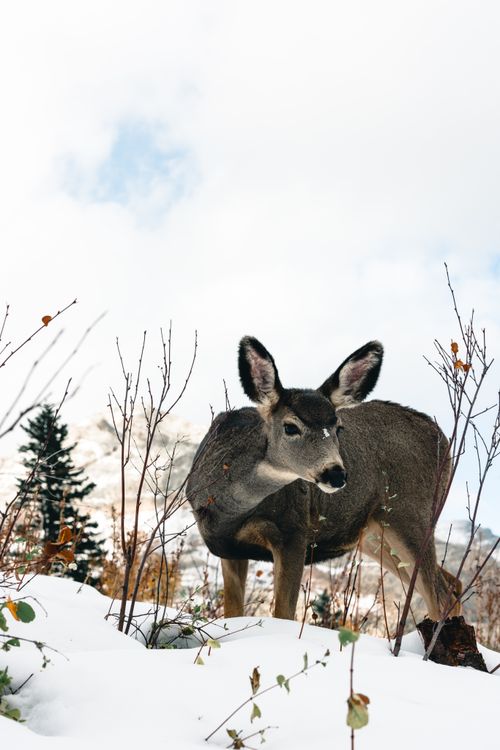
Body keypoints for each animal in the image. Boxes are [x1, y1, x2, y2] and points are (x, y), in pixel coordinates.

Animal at [186, 336, 461, 622]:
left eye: (338, 428)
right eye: (290, 427)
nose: (336, 473)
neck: (229, 509)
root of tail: (443, 438)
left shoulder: (294, 532)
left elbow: (284, 614)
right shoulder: (230, 550)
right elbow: (232, 613)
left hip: (411, 515)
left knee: (441, 595)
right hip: (376, 536)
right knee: (452, 583)